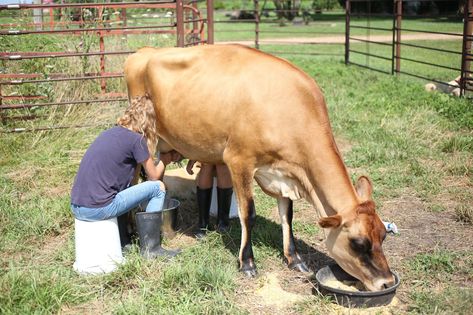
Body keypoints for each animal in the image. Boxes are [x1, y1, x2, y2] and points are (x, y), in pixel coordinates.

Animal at [122, 43, 394, 292]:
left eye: (383, 234)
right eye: (357, 243)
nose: (387, 282)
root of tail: (145, 51)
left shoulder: (284, 172)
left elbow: (287, 215)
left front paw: (294, 258)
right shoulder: (239, 160)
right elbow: (248, 215)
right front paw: (247, 263)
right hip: (141, 139)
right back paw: (130, 233)